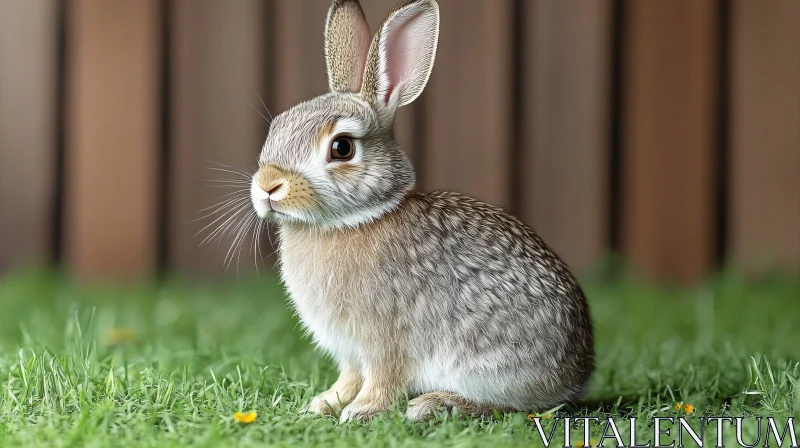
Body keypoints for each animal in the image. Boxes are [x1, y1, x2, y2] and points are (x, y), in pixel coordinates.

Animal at [250, 0, 592, 422]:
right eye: (278, 126)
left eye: (342, 148)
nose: (267, 186)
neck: (351, 221)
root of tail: (578, 373)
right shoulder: (350, 351)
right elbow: (348, 378)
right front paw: (324, 404)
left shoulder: (385, 339)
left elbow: (383, 379)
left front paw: (361, 412)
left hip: (490, 366)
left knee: (512, 408)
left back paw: (434, 405)